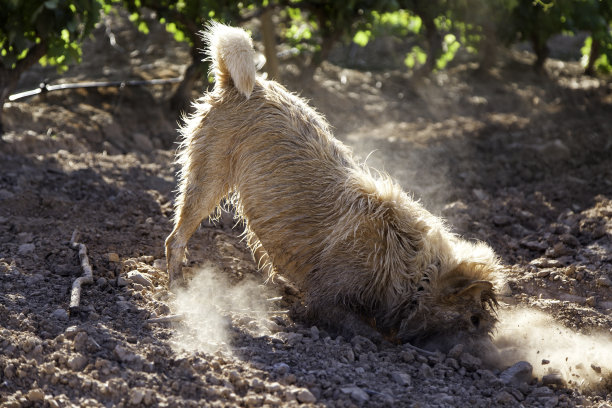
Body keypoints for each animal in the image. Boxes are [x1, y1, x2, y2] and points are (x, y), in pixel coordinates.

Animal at [165, 22, 500, 350]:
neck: (412, 266)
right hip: (207, 180)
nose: (490, 352)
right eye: (474, 319)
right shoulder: (326, 300)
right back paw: (179, 286)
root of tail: (240, 84)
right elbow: (363, 328)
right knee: (176, 238)